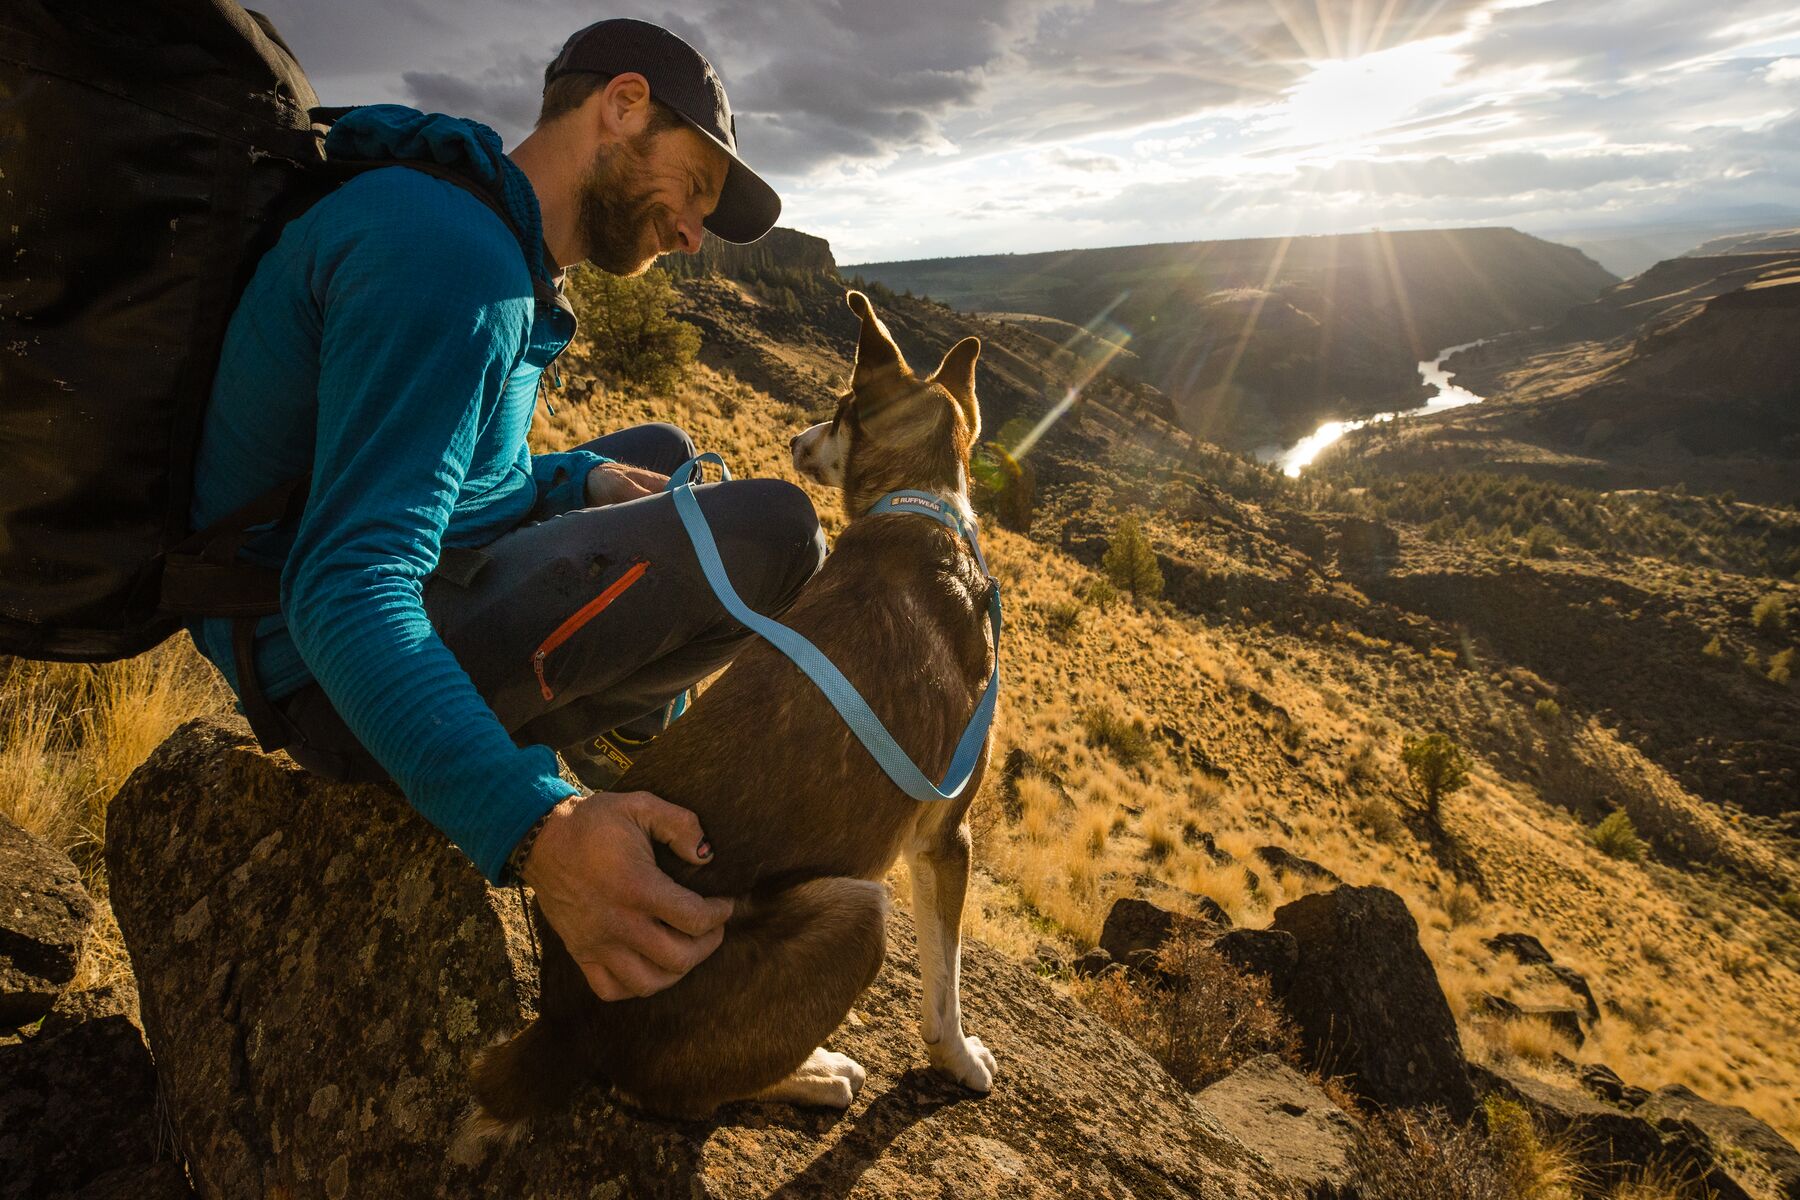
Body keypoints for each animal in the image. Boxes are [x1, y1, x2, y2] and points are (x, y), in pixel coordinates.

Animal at [464, 291, 1000, 1137]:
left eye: (838, 412)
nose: (795, 439)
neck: (921, 508)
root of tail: (564, 1020)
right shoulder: (947, 834)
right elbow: (944, 985)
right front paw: (961, 1061)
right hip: (856, 911)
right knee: (675, 1094)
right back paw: (816, 1074)